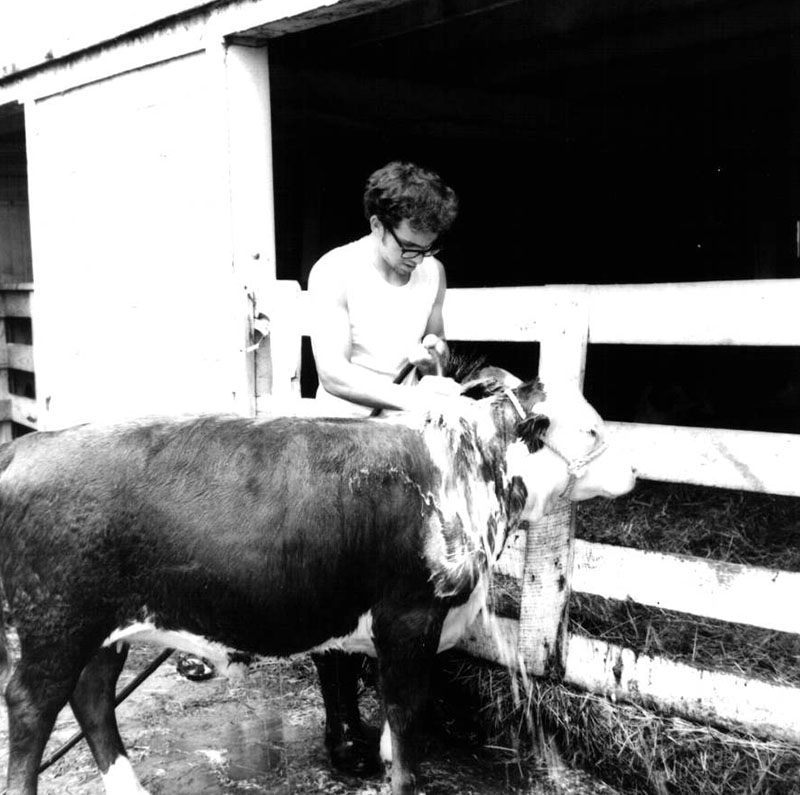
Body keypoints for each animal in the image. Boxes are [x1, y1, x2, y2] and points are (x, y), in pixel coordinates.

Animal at [1, 374, 636, 795]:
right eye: (592, 428)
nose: (633, 469)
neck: (468, 473)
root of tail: (32, 443)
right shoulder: (410, 618)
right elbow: (406, 715)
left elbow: (392, 724)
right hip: (54, 626)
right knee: (31, 709)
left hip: (103, 628)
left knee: (92, 699)